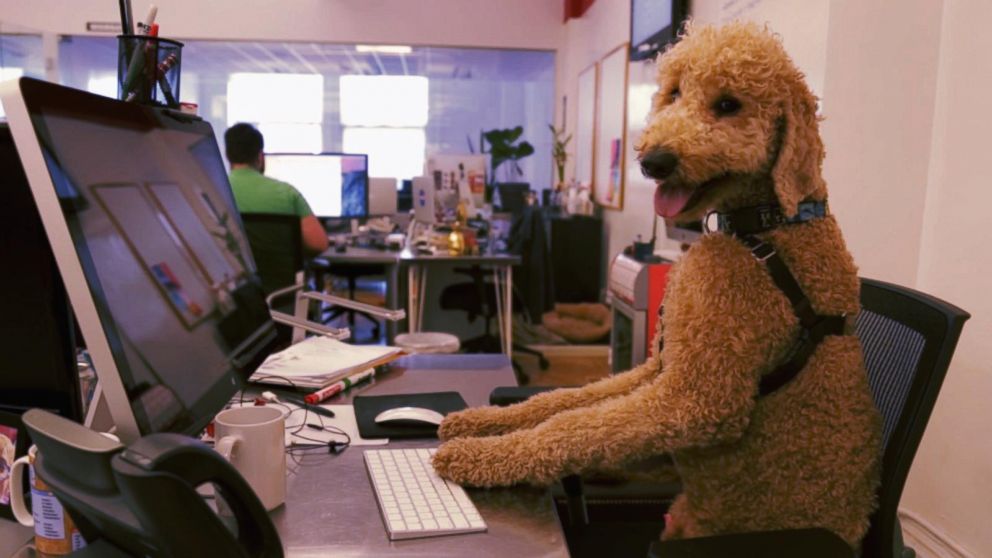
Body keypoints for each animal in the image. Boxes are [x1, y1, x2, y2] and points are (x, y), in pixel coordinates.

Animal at [430, 20, 880, 548]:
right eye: (674, 93)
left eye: (729, 104)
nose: (653, 160)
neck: (765, 228)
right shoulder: (660, 368)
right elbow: (563, 402)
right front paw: (483, 421)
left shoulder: (696, 398)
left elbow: (572, 426)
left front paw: (480, 454)